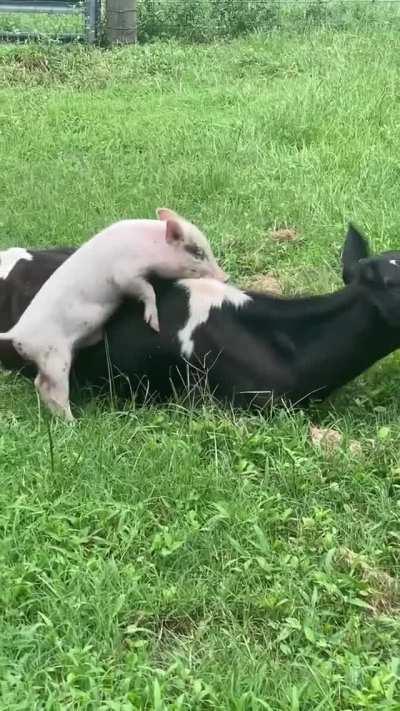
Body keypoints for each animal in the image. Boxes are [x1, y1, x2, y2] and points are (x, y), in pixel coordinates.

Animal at [0, 208, 227, 421]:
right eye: (197, 252)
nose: (225, 278)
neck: (151, 246)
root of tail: (17, 333)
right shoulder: (124, 276)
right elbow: (147, 290)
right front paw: (154, 324)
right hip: (54, 357)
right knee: (47, 387)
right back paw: (74, 423)